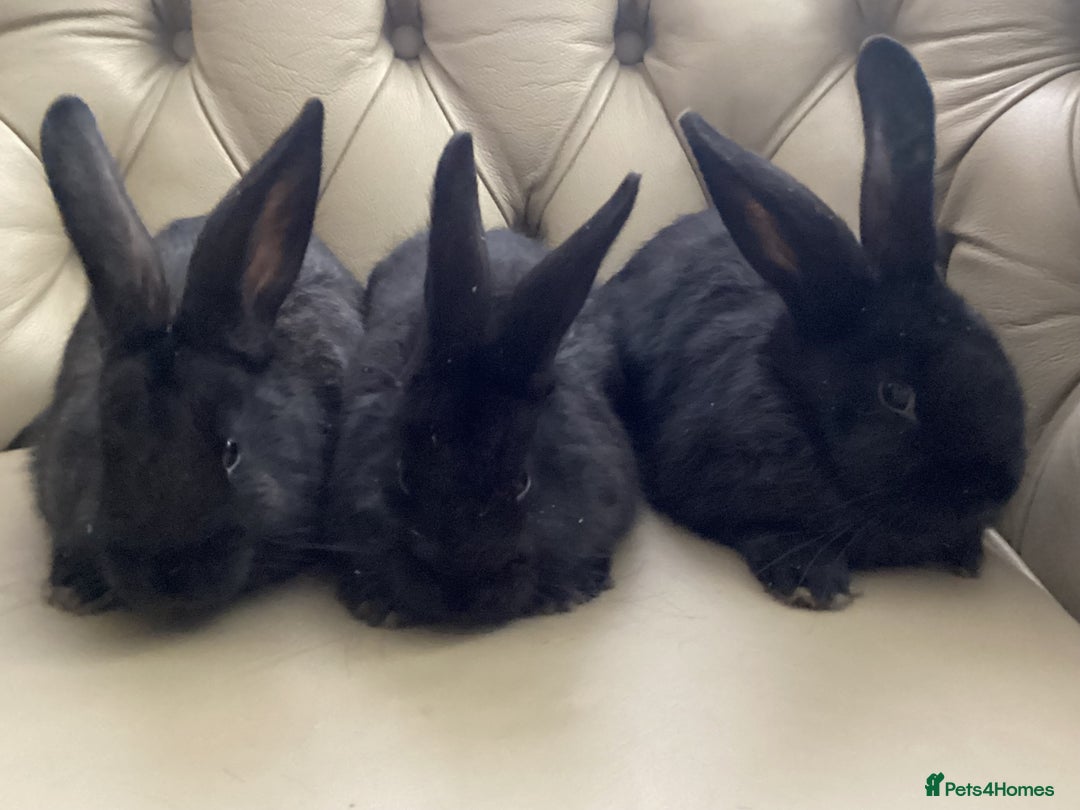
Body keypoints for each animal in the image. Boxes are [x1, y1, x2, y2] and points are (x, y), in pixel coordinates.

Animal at [599, 36, 1026, 609]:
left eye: (993, 347)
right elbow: (758, 528)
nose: (994, 489)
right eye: (896, 395)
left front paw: (966, 553)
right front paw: (812, 578)